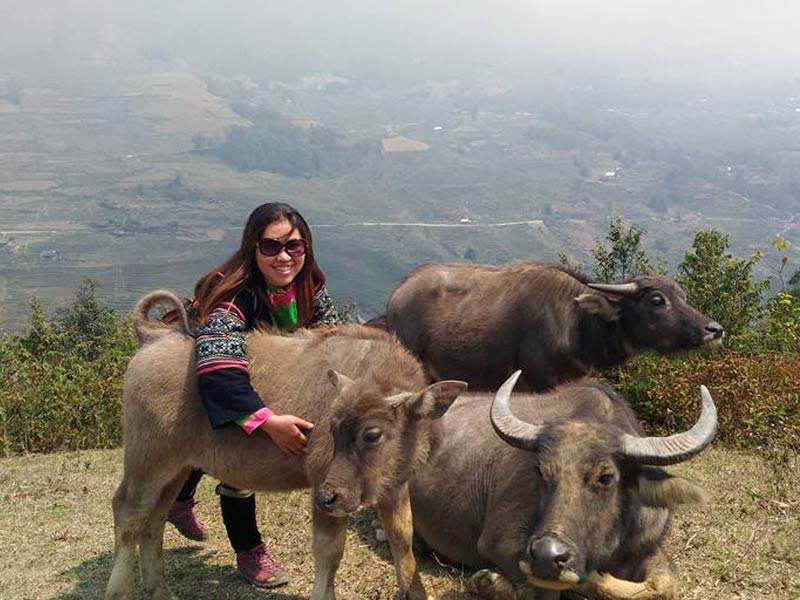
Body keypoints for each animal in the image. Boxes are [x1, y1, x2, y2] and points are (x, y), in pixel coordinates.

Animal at [106, 292, 468, 600]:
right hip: (148, 459)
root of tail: (155, 338)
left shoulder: (394, 489)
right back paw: (121, 591)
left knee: (154, 521)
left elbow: (403, 543)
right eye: (332, 428)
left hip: (175, 469)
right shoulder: (324, 488)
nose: (328, 496)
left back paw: (160, 590)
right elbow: (330, 552)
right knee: (128, 513)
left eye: (372, 435)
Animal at [410, 372, 716, 596]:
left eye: (606, 477)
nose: (547, 556)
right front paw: (486, 582)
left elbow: (664, 585)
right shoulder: (499, 541)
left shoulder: (646, 545)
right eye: (541, 471)